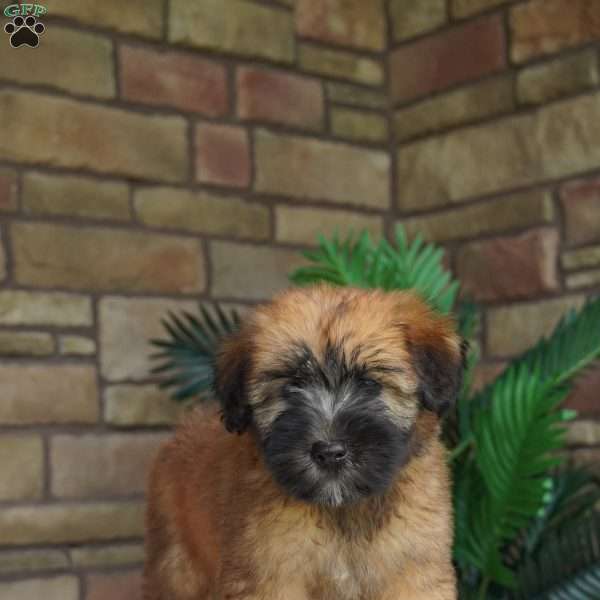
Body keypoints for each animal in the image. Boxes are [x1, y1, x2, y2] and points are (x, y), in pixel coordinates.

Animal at [144, 288, 464, 600]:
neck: (342, 511)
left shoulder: (414, 570)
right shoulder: (270, 575)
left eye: (369, 384)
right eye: (290, 387)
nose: (329, 452)